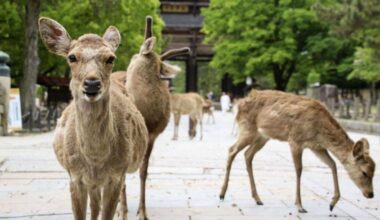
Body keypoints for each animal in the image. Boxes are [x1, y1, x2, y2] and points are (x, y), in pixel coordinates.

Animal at [38, 17, 148, 220]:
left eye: (111, 58)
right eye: (72, 57)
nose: (91, 83)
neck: (95, 160)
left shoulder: (116, 175)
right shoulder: (75, 176)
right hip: (92, 183)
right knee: (95, 206)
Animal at [221, 89, 376, 213]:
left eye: (374, 171)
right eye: (364, 172)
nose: (371, 194)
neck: (319, 131)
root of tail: (239, 103)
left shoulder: (316, 146)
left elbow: (333, 164)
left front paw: (332, 204)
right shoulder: (295, 140)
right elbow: (299, 169)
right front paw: (300, 206)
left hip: (262, 137)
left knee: (248, 154)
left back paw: (258, 199)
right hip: (247, 129)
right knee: (231, 150)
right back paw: (222, 194)